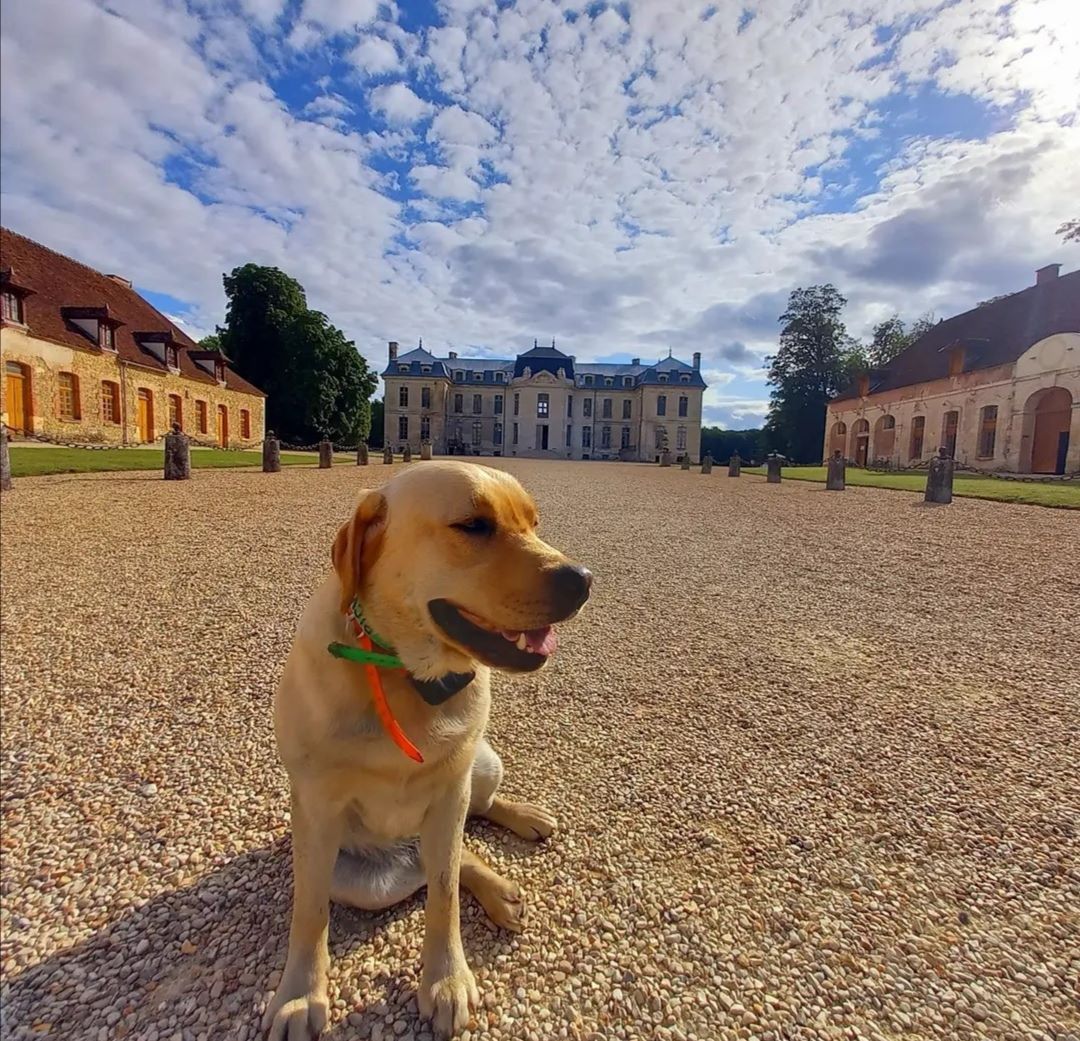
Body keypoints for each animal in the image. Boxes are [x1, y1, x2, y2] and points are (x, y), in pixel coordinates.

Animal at [266, 464, 596, 1041]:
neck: (407, 673)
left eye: (533, 523)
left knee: (467, 835)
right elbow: (309, 914)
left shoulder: (450, 791)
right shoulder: (316, 810)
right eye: (473, 525)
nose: (583, 578)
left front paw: (446, 980)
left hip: (482, 762)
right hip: (358, 877)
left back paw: (519, 835)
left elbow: (444, 896)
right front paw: (299, 995)